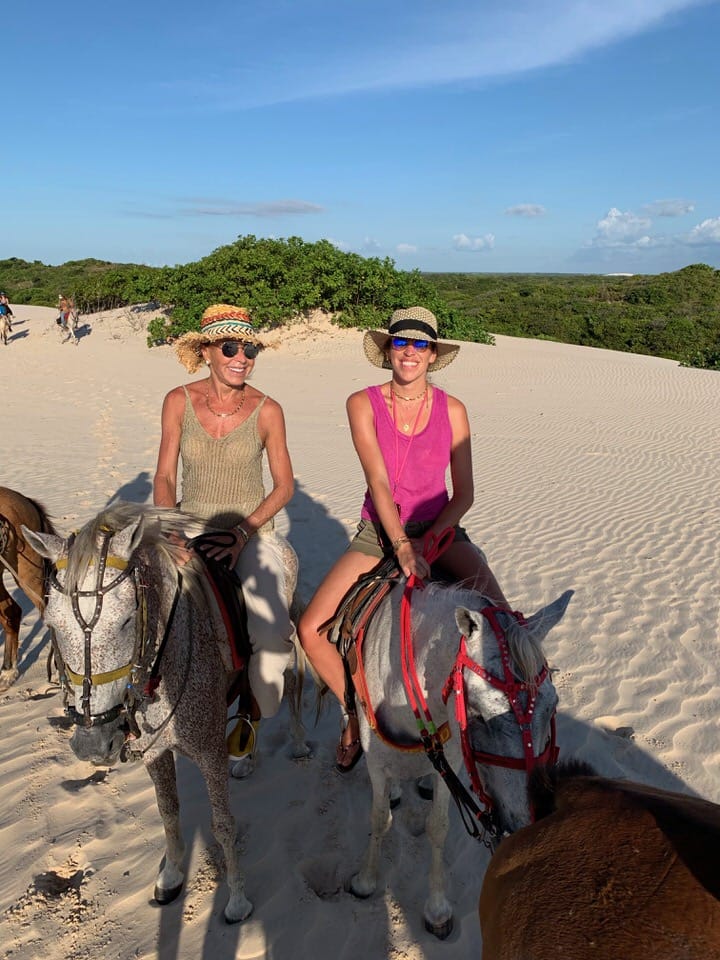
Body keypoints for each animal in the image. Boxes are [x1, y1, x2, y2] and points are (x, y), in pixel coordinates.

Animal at [23, 502, 309, 923]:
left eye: (127, 619)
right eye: (51, 623)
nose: (93, 743)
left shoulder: (209, 752)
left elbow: (223, 825)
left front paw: (237, 901)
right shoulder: (154, 753)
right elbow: (168, 812)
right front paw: (172, 876)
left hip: (280, 645)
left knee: (287, 686)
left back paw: (300, 742)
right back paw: (247, 759)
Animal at [347, 577, 572, 938]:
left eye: (552, 707)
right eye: (478, 715)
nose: (532, 824)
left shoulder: (450, 760)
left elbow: (437, 826)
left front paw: (437, 909)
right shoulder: (376, 764)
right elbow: (380, 818)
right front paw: (365, 880)